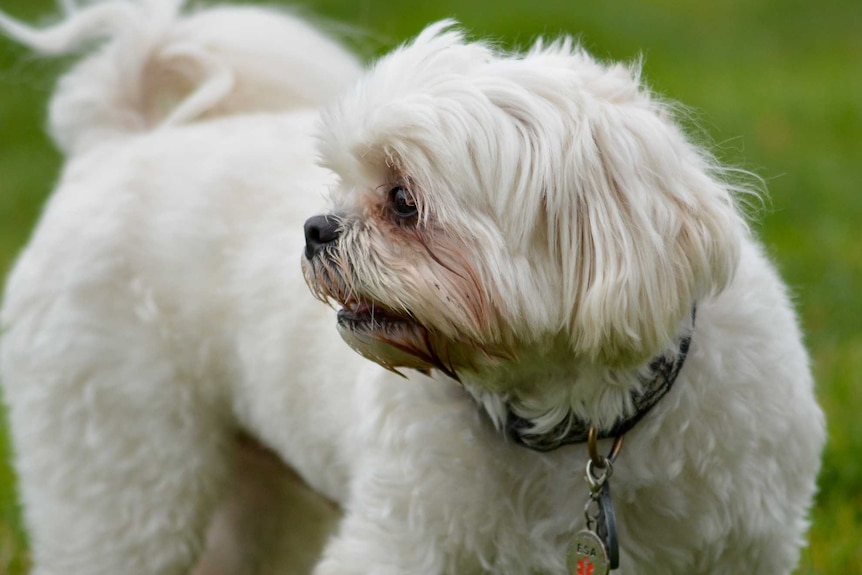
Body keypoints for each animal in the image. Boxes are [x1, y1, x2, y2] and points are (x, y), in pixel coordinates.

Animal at [0, 1, 828, 575]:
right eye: (342, 182)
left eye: (403, 199)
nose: (315, 227)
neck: (582, 423)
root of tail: (112, 145)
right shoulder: (403, 542)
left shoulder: (740, 545)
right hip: (119, 470)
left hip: (261, 493)